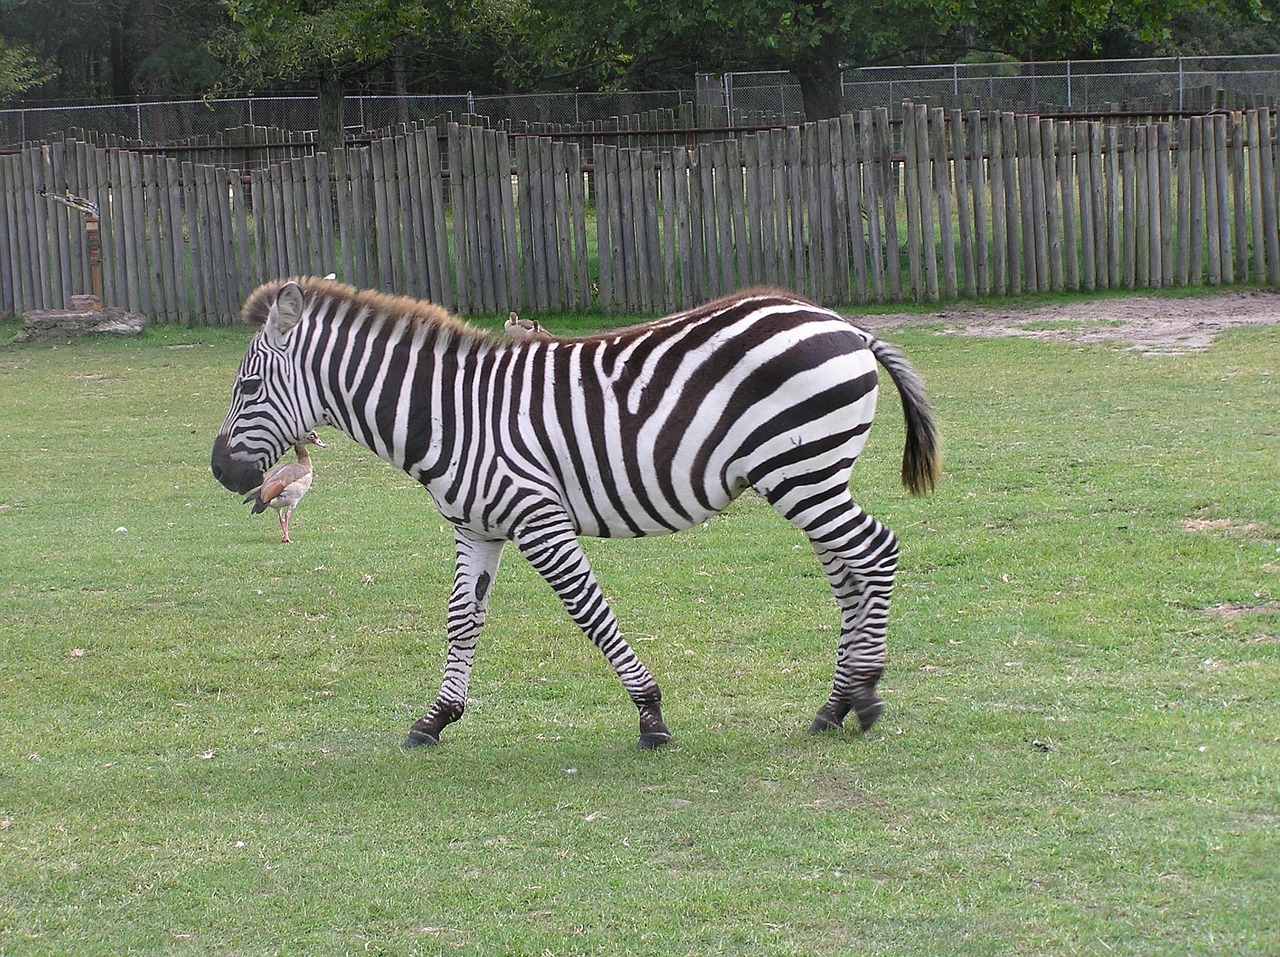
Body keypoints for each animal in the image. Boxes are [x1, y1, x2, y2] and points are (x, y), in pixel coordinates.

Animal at [209, 276, 942, 747]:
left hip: (804, 472)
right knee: (849, 572)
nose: (220, 471)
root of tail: (845, 324)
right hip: (808, 476)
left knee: (876, 551)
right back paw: (834, 705)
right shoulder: (476, 526)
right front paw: (436, 718)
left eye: (249, 385)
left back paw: (865, 695)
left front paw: (650, 715)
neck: (450, 415)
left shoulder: (538, 517)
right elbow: (462, 620)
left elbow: (589, 611)